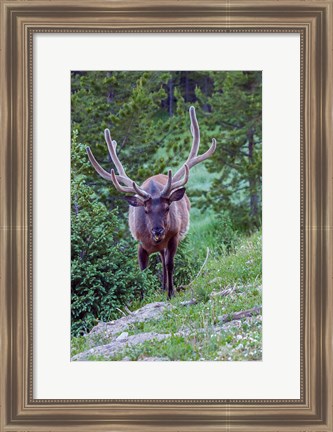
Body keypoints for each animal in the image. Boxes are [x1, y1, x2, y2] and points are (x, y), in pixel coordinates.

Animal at [85, 106, 215, 298]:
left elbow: (170, 264)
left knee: (164, 261)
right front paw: (143, 295)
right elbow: (143, 271)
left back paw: (166, 287)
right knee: (160, 258)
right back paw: (161, 286)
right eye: (145, 210)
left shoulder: (174, 237)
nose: (157, 230)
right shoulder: (140, 243)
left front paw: (171, 293)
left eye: (167, 207)